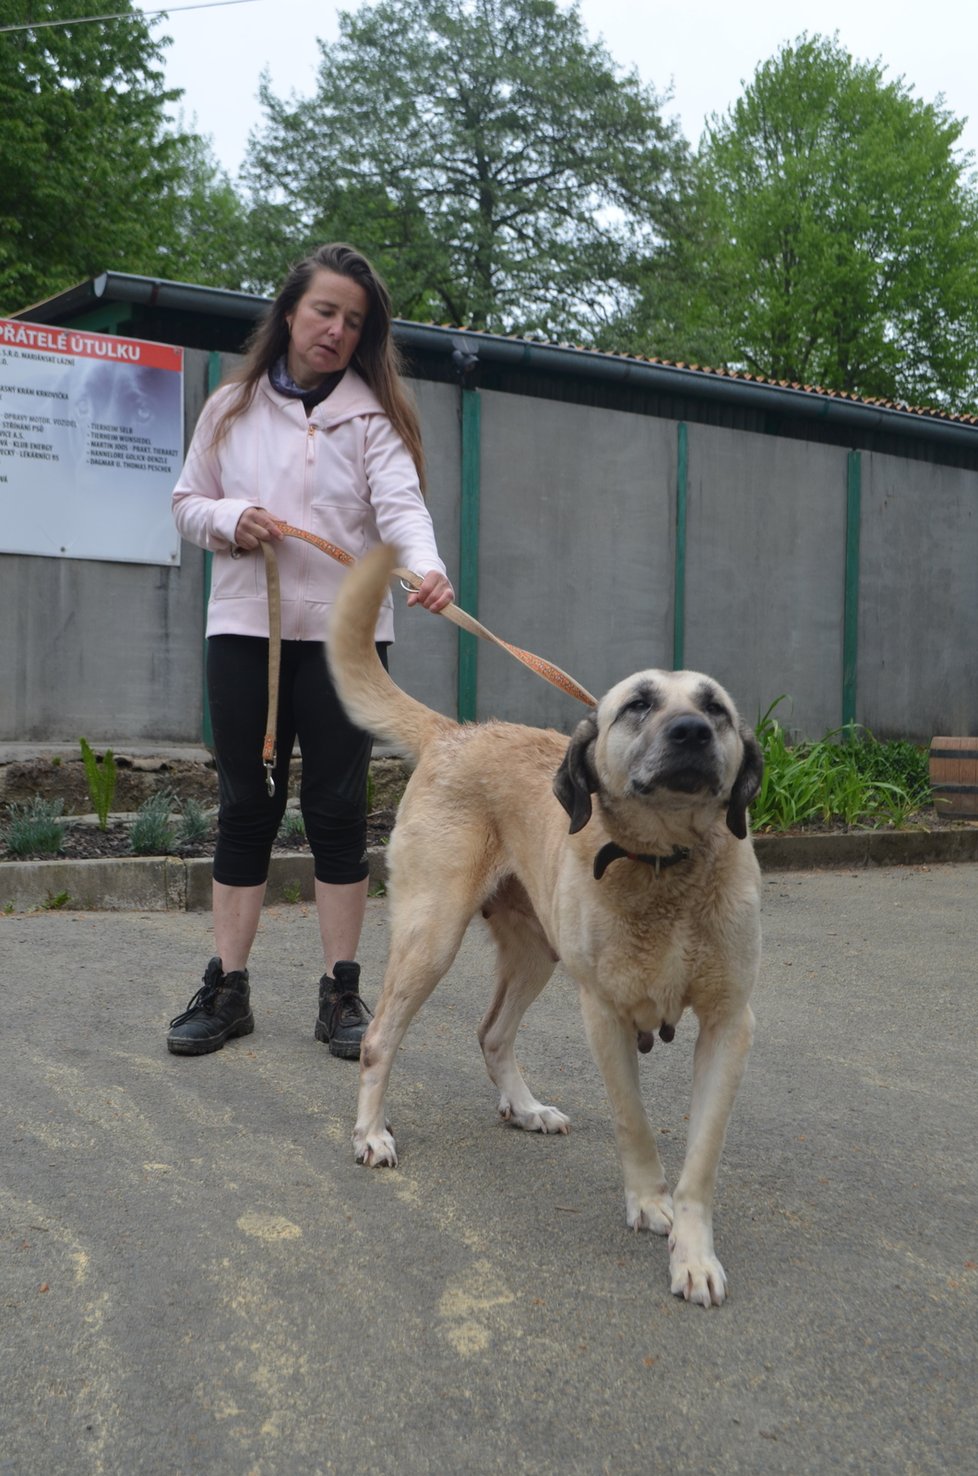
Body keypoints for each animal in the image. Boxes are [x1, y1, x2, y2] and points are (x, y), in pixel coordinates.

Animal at [328, 549, 767, 1310]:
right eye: (639, 705)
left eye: (715, 707)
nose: (691, 733)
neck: (665, 865)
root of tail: (456, 731)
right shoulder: (605, 1015)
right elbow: (634, 1122)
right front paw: (648, 1203)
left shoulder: (727, 1025)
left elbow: (702, 1160)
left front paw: (692, 1252)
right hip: (430, 937)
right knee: (380, 1038)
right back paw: (371, 1134)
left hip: (535, 953)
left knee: (492, 1032)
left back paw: (524, 1108)